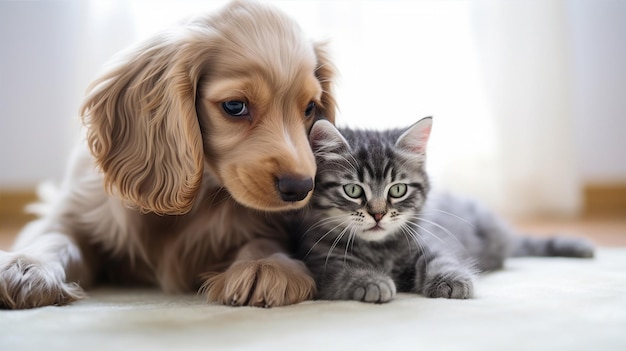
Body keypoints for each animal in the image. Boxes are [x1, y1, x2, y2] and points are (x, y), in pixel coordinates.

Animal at [0, 0, 336, 310]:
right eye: (234, 106)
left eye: (309, 108)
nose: (301, 188)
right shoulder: (75, 212)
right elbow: (56, 236)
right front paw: (26, 265)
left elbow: (263, 239)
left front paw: (264, 264)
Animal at [294, 117, 592, 304]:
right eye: (353, 190)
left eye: (397, 190)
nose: (378, 214)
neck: (380, 250)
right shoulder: (321, 266)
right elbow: (343, 273)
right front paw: (371, 282)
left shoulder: (433, 242)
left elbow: (443, 260)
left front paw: (452, 281)